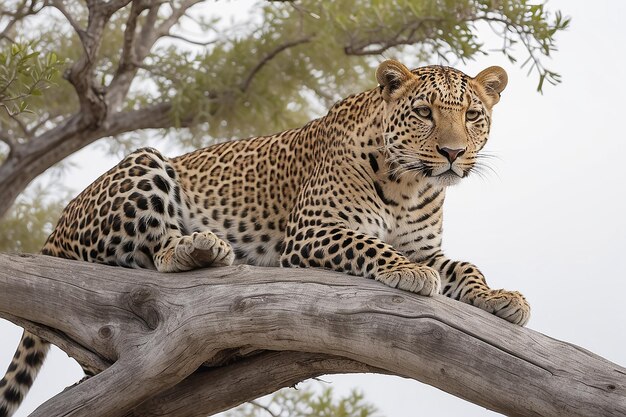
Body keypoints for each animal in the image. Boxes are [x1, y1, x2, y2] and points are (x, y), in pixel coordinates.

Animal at [0, 59, 528, 416]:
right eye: (422, 111)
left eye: (473, 115)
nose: (452, 152)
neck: (412, 183)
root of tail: (56, 226)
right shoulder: (313, 232)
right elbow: (373, 246)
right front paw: (407, 272)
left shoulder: (428, 246)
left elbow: (466, 266)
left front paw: (500, 297)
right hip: (145, 163)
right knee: (153, 254)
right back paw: (201, 246)